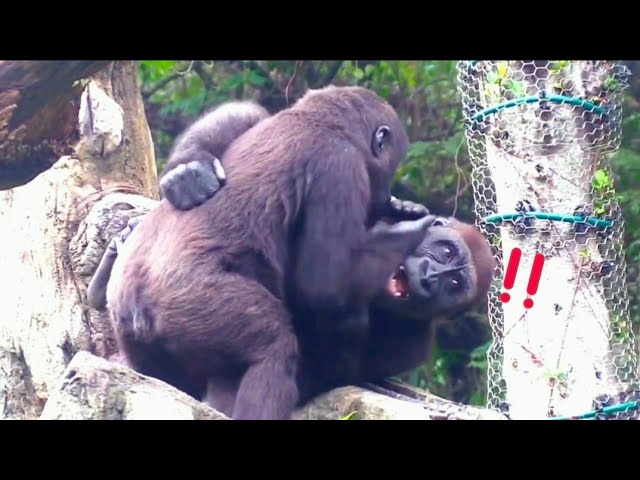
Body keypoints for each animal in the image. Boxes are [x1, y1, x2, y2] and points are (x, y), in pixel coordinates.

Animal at [105, 85, 437, 420]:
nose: (384, 197)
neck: (323, 121)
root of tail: (135, 297)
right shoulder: (341, 166)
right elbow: (325, 285)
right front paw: (406, 230)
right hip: (188, 299)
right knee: (275, 348)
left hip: (129, 325)